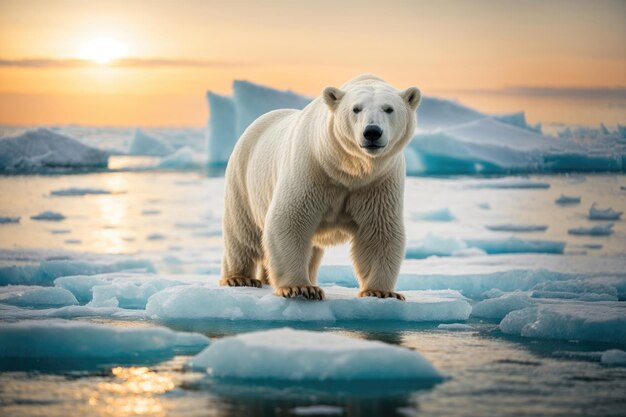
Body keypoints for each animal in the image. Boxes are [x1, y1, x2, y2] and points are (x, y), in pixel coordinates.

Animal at [219, 73, 420, 298]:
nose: (372, 132)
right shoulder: (311, 169)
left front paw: (381, 292)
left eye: (389, 108)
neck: (348, 169)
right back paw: (239, 278)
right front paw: (300, 288)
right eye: (356, 108)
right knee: (243, 232)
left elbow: (378, 231)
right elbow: (290, 219)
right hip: (243, 179)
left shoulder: (378, 183)